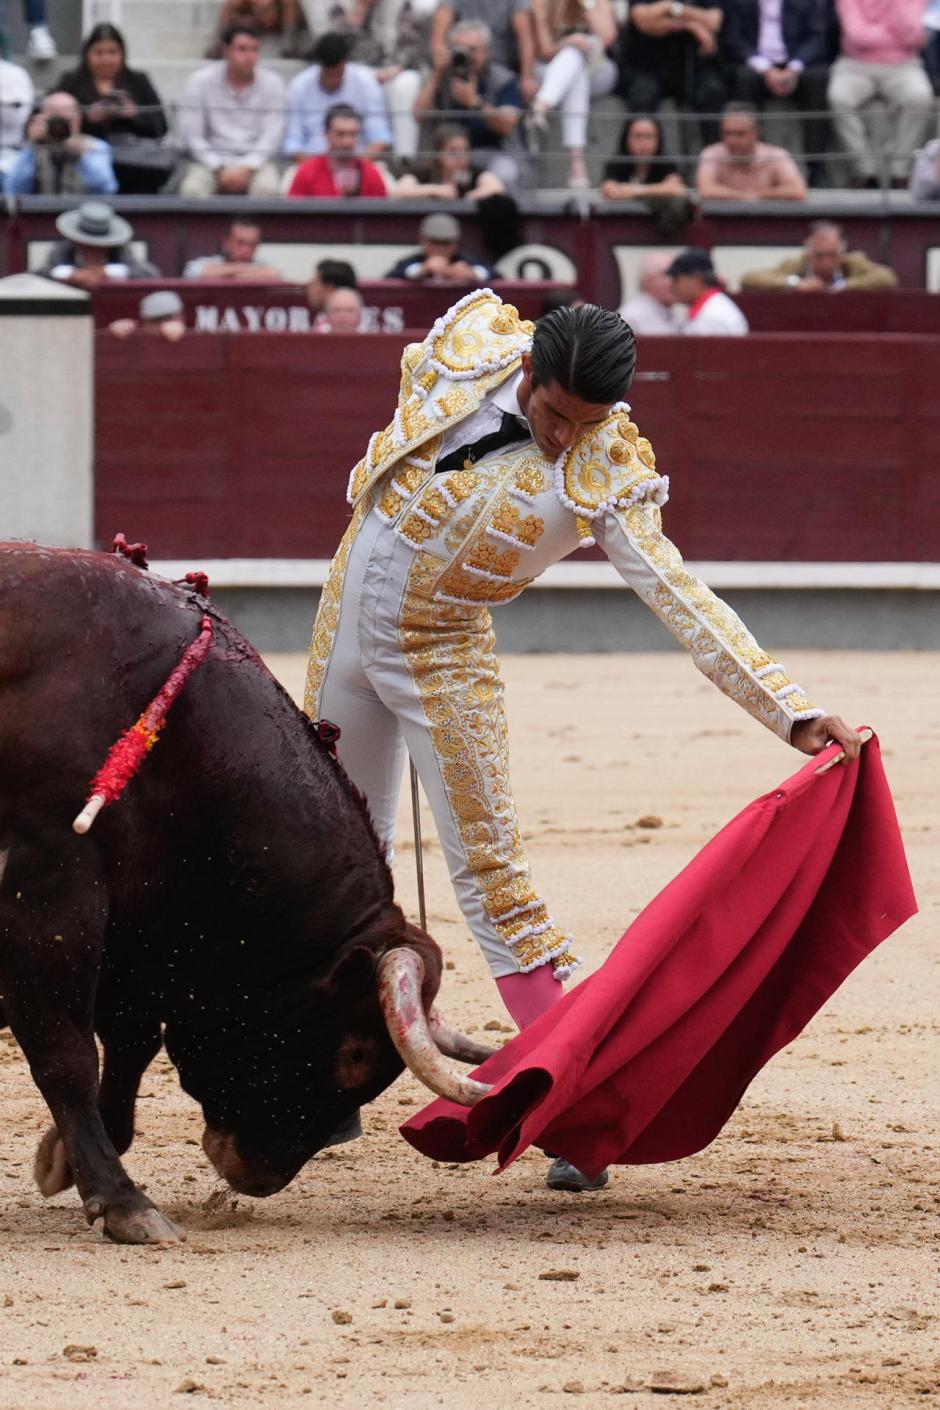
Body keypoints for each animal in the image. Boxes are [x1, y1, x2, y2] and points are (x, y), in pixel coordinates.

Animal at [0, 541, 496, 1246]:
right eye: (353, 1053)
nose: (260, 1176)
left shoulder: (139, 919)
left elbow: (132, 1040)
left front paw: (61, 1159)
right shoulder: (52, 886)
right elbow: (62, 1046)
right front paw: (124, 1202)